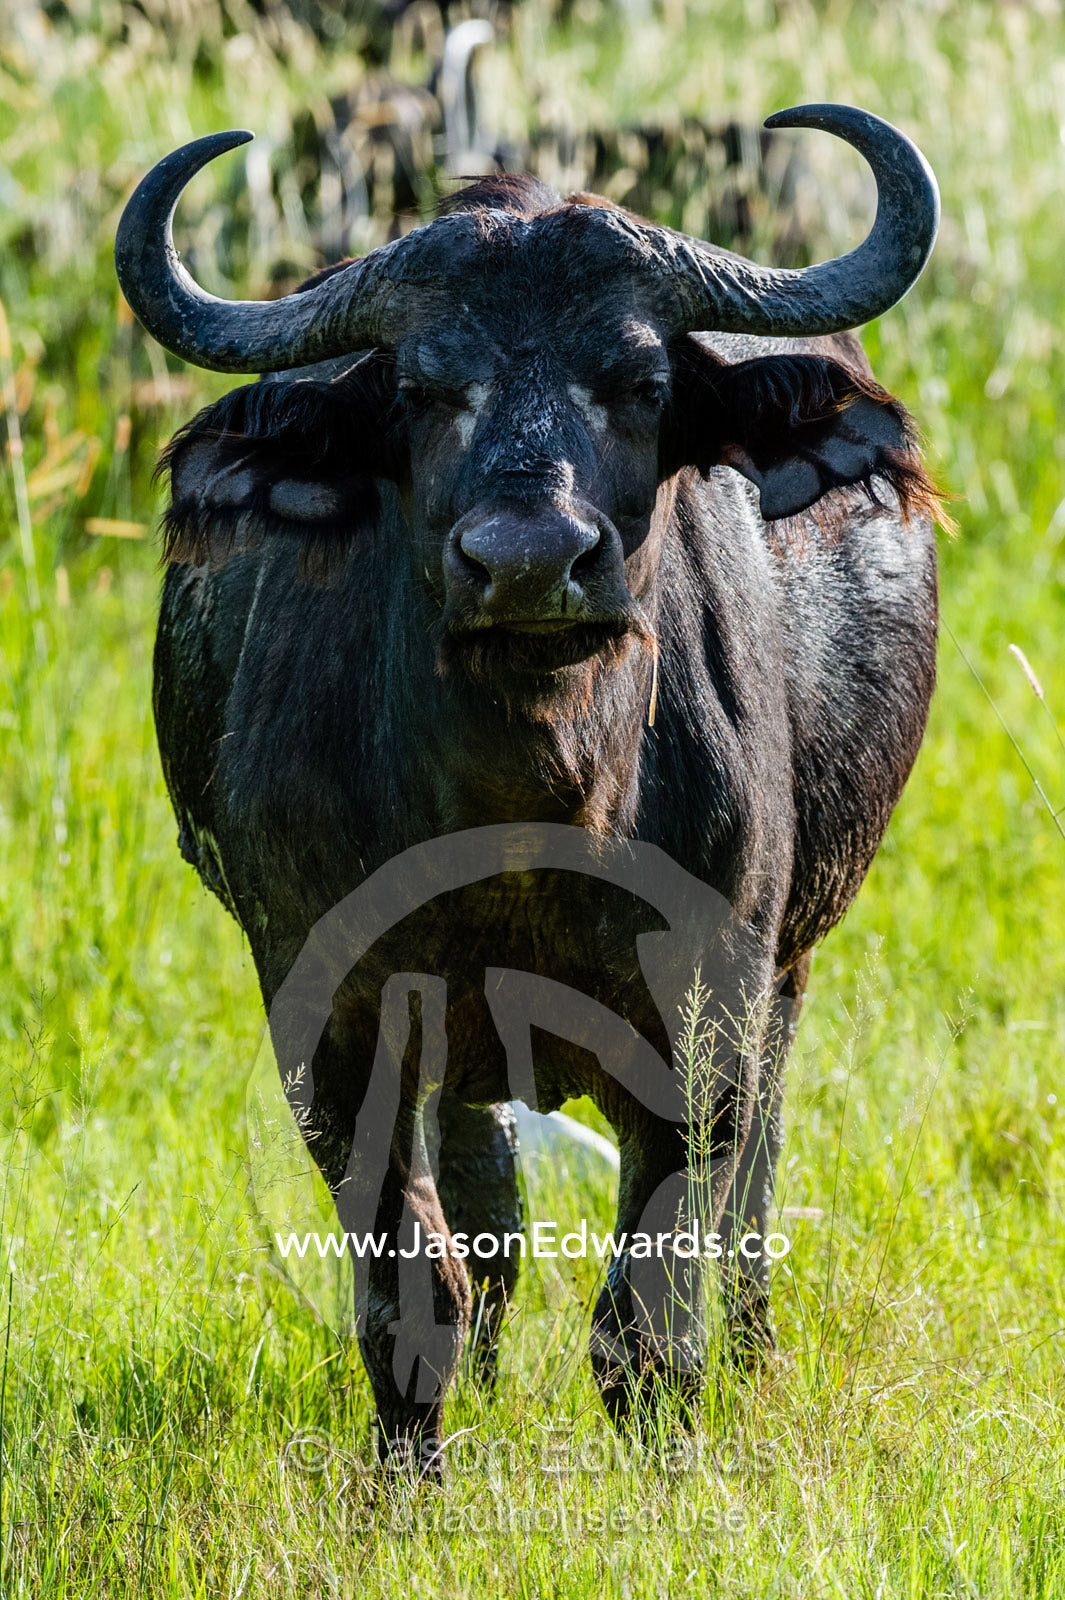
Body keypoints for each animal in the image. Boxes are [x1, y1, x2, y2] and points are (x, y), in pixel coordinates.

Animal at [116, 103, 941, 1472]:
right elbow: (418, 1282)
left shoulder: (706, 999)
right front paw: (408, 1474)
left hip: (791, 964)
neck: (530, 798)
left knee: (753, 1186)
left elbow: (651, 1306)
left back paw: (754, 1348)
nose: (528, 562)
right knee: (489, 1200)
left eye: (644, 383)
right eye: (418, 388)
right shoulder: (331, 1011)